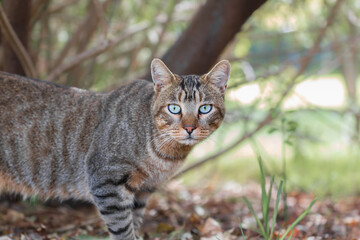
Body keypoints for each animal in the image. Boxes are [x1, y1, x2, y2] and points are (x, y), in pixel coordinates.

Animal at [0, 58, 231, 240]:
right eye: (174, 108)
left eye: (205, 108)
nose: (190, 128)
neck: (166, 155)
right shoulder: (107, 181)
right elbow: (122, 229)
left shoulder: (143, 191)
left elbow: (134, 223)